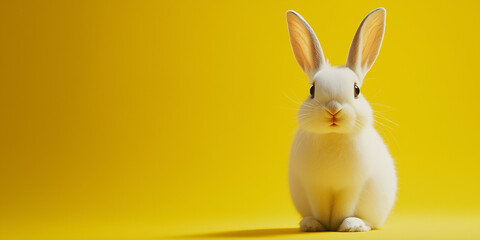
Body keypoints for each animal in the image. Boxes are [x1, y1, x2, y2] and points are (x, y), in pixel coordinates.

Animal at [284, 8, 398, 232]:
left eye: (357, 90)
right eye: (312, 90)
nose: (333, 109)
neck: (333, 136)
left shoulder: (352, 187)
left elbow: (343, 209)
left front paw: (340, 226)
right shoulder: (315, 187)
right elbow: (319, 209)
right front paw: (319, 225)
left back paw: (356, 224)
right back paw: (308, 223)